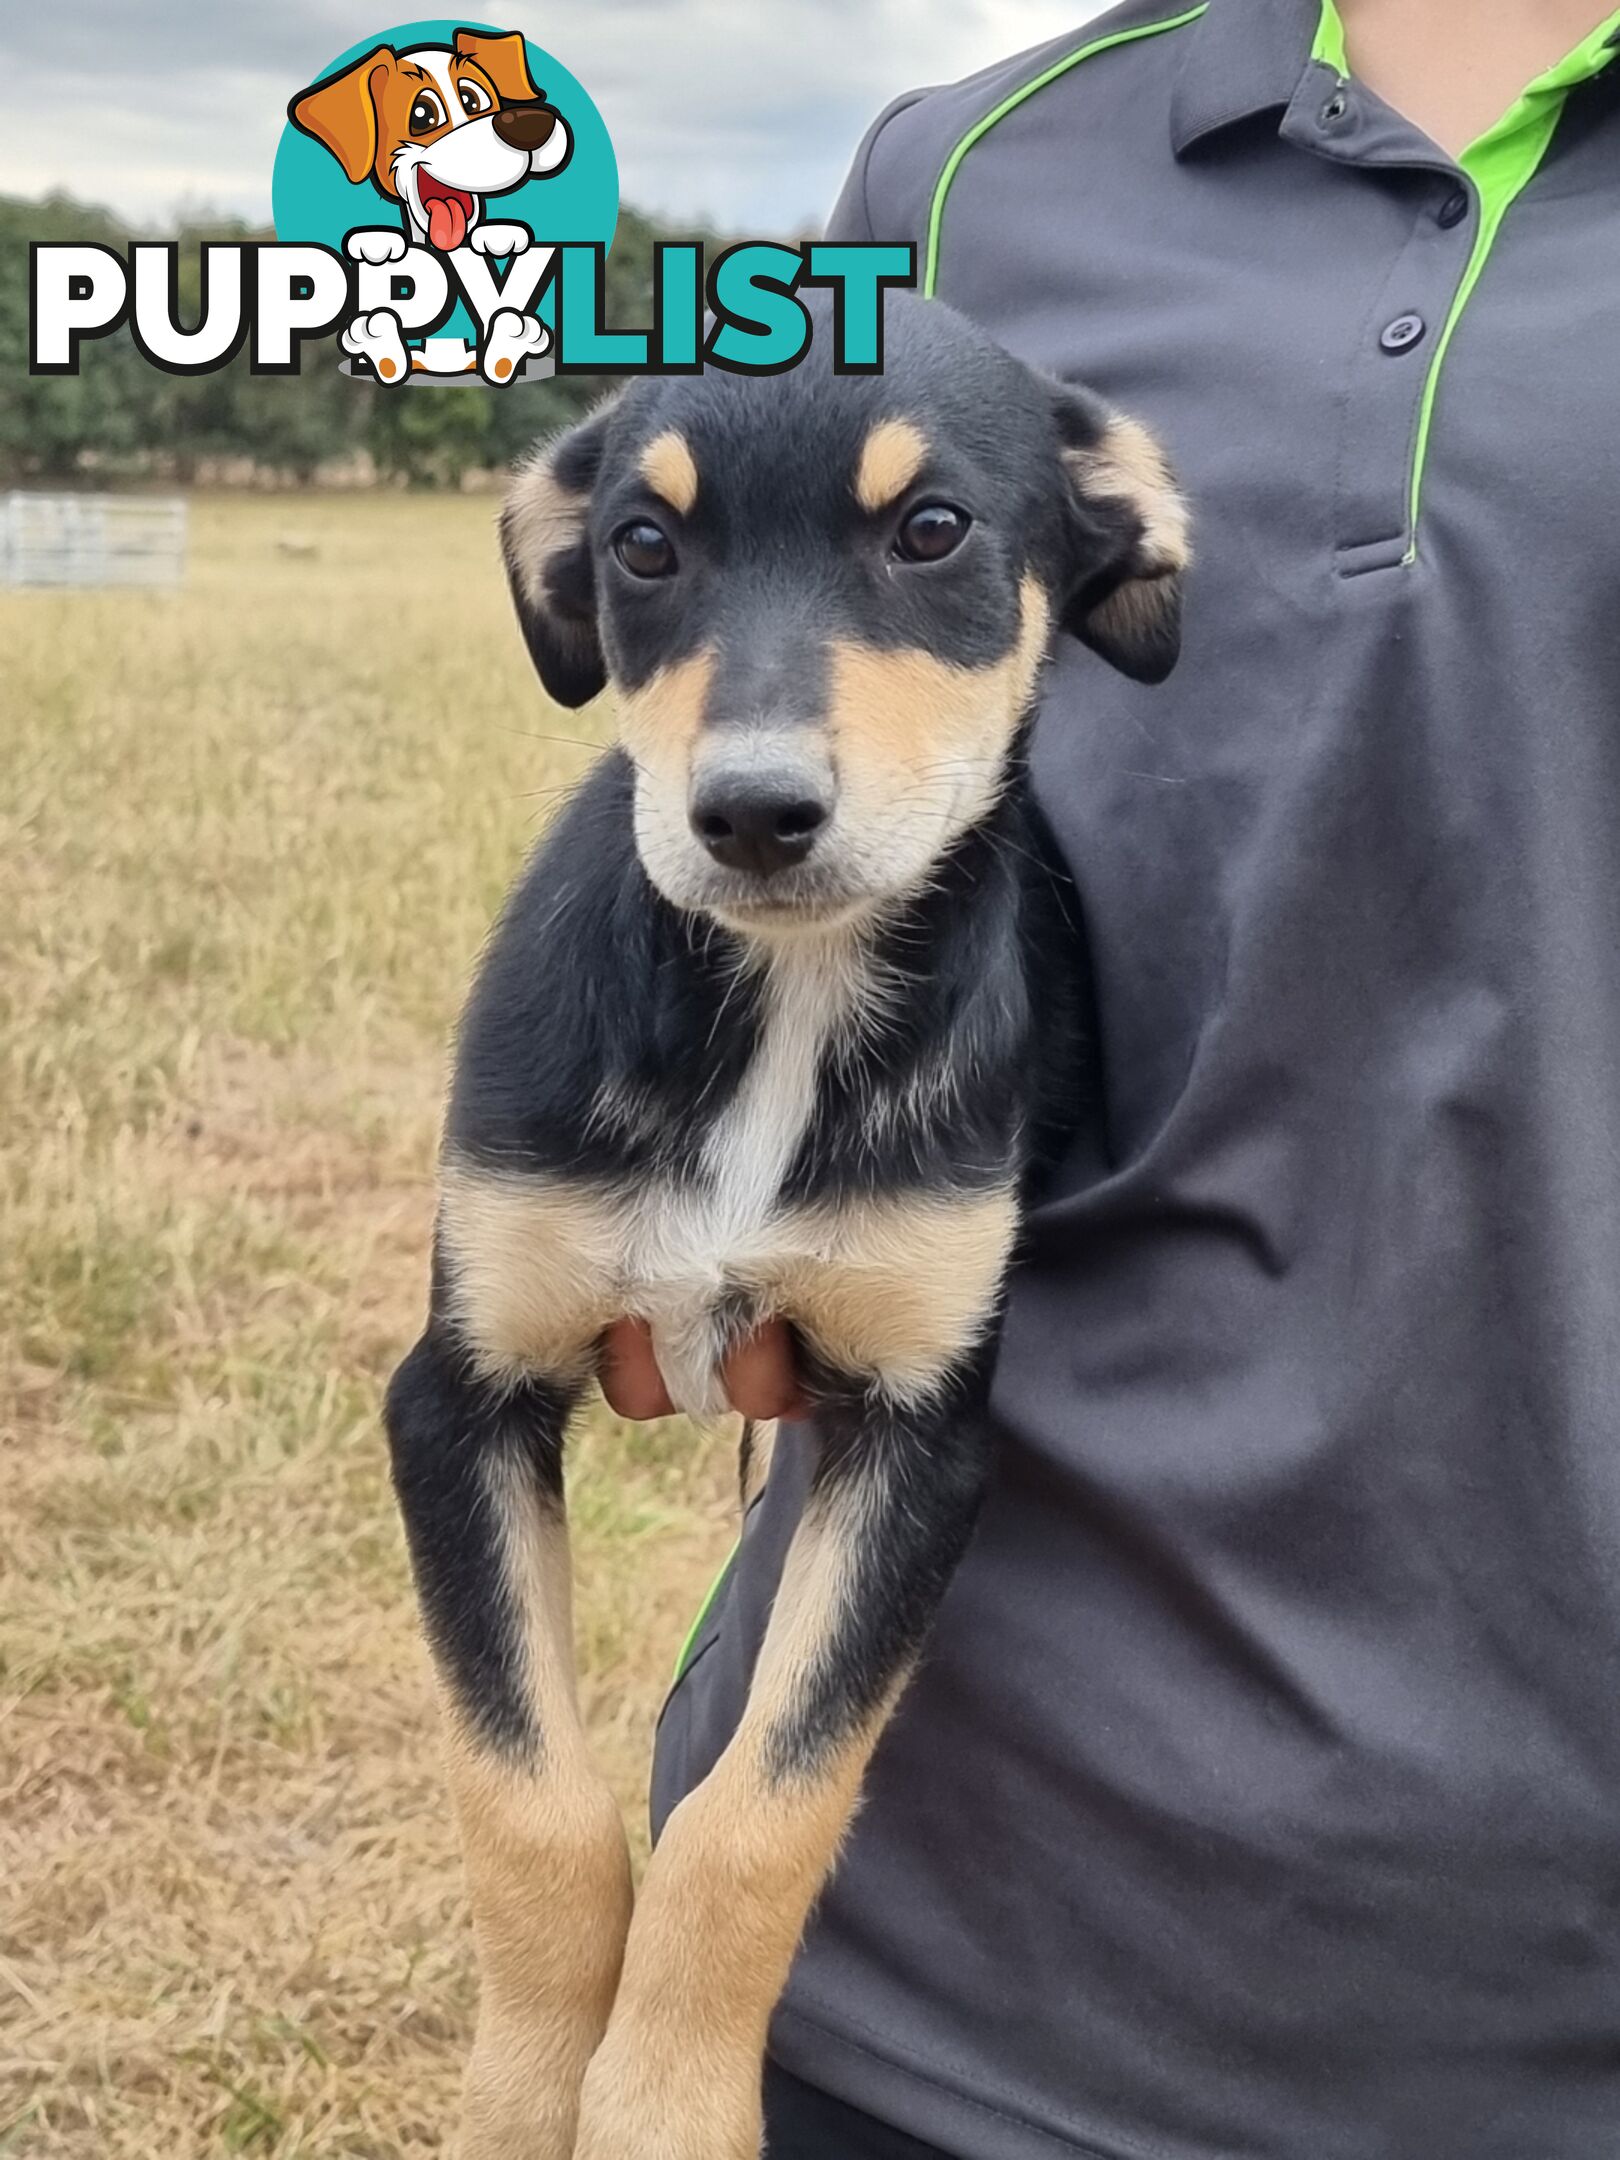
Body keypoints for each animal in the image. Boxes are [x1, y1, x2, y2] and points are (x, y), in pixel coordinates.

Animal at [384, 291, 1183, 2160]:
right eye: (642, 546)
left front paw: (664, 2104)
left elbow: (759, 1819)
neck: (783, 1001)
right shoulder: (455, 1399)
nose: (748, 813)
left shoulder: (918, 1440)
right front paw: (532, 2093)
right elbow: (527, 1802)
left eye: (935, 529)